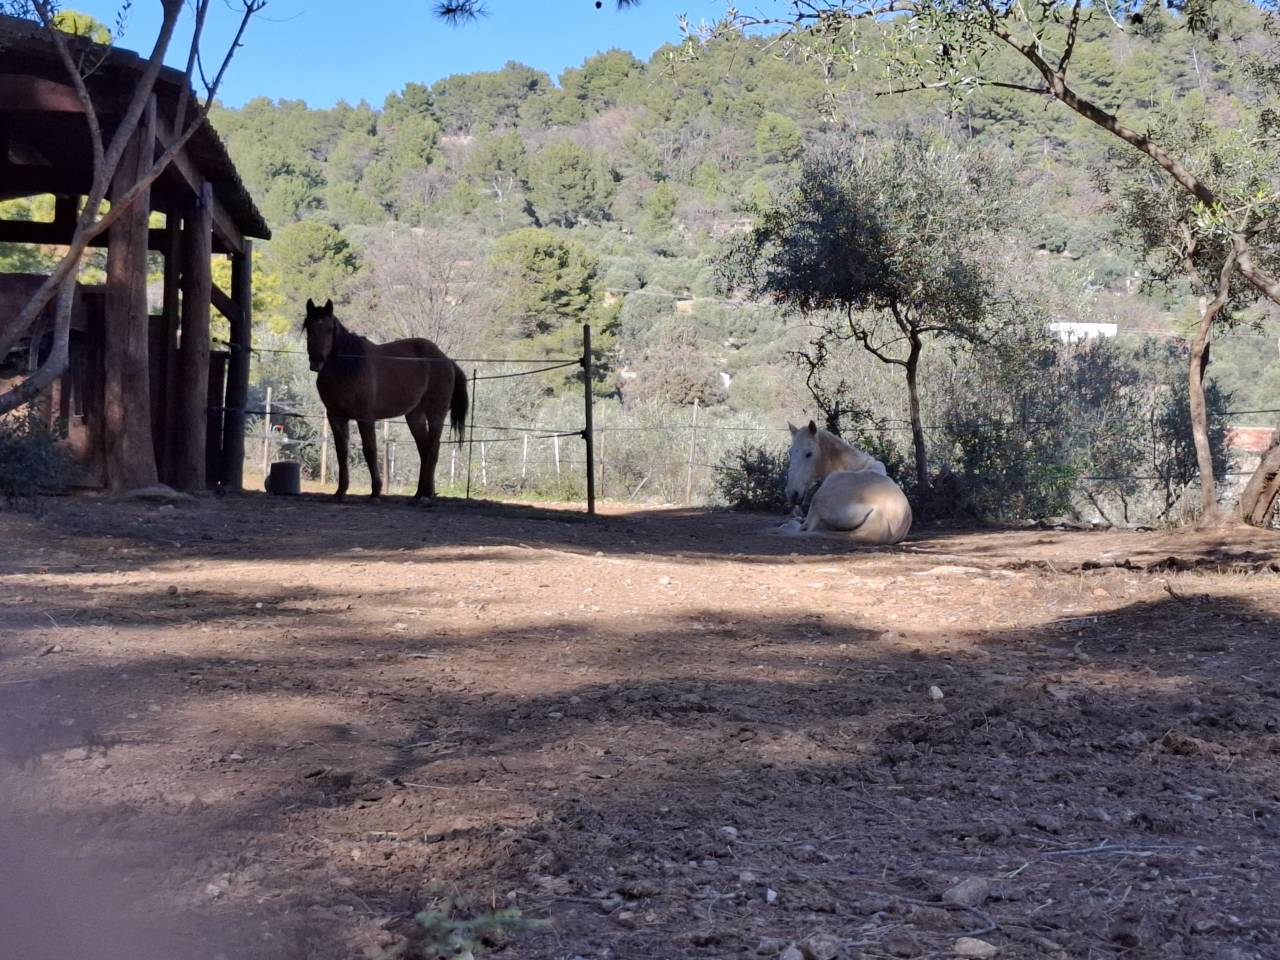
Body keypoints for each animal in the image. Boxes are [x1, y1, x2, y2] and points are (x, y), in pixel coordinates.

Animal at [302, 298, 468, 500]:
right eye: (309, 327)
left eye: (329, 329)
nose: (316, 362)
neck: (348, 367)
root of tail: (446, 360)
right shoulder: (336, 418)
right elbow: (342, 452)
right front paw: (340, 491)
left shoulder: (365, 418)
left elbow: (370, 451)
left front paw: (376, 491)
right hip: (415, 416)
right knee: (424, 450)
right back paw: (420, 492)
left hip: (436, 414)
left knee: (432, 450)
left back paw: (426, 494)